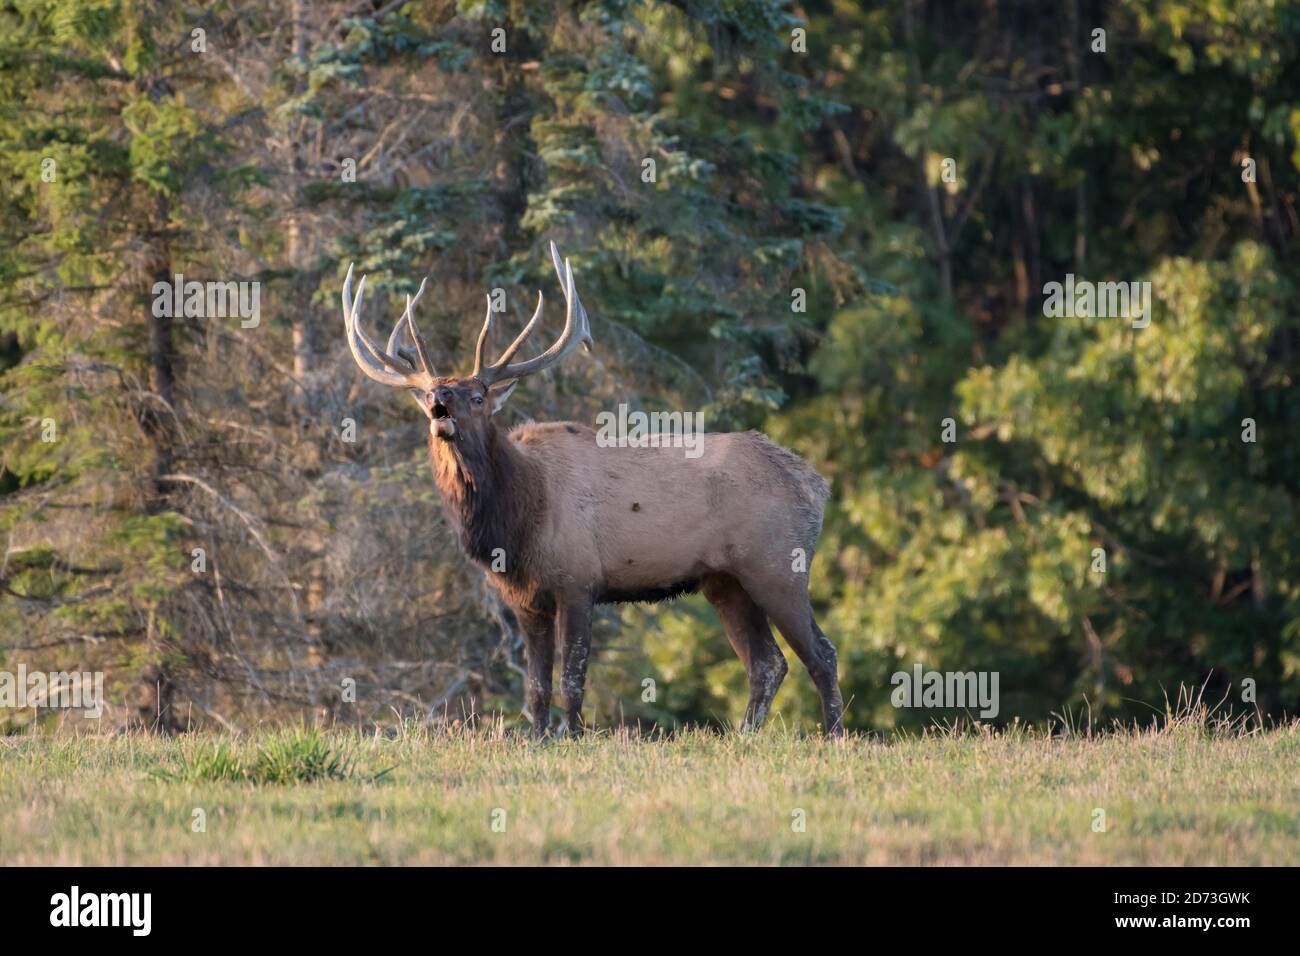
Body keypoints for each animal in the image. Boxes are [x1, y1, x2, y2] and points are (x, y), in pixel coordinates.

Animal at [338, 243, 842, 738]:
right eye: (429, 395)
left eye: (477, 397)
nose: (439, 404)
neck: (516, 520)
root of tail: (817, 485)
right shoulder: (524, 600)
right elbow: (536, 687)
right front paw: (538, 740)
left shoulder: (578, 578)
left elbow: (572, 677)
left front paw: (573, 736)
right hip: (726, 581)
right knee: (767, 663)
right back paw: (745, 734)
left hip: (779, 563)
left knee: (820, 652)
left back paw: (833, 734)